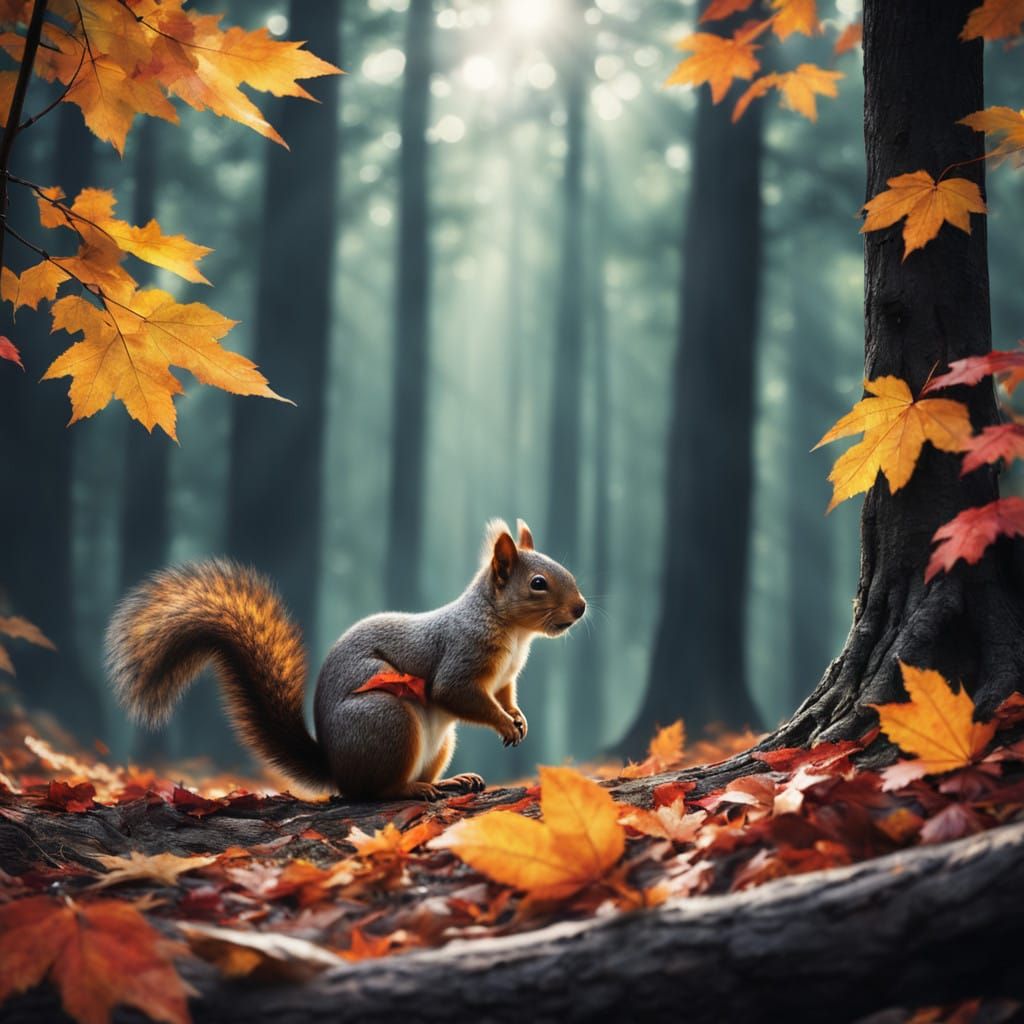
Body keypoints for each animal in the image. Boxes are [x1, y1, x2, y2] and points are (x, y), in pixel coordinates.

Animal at [106, 518, 586, 801]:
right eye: (538, 583)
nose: (581, 608)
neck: (515, 634)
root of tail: (336, 768)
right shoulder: (461, 656)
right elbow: (457, 693)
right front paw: (505, 724)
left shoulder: (505, 677)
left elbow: (504, 696)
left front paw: (518, 718)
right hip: (387, 718)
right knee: (373, 791)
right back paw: (410, 791)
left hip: (438, 742)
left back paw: (451, 780)